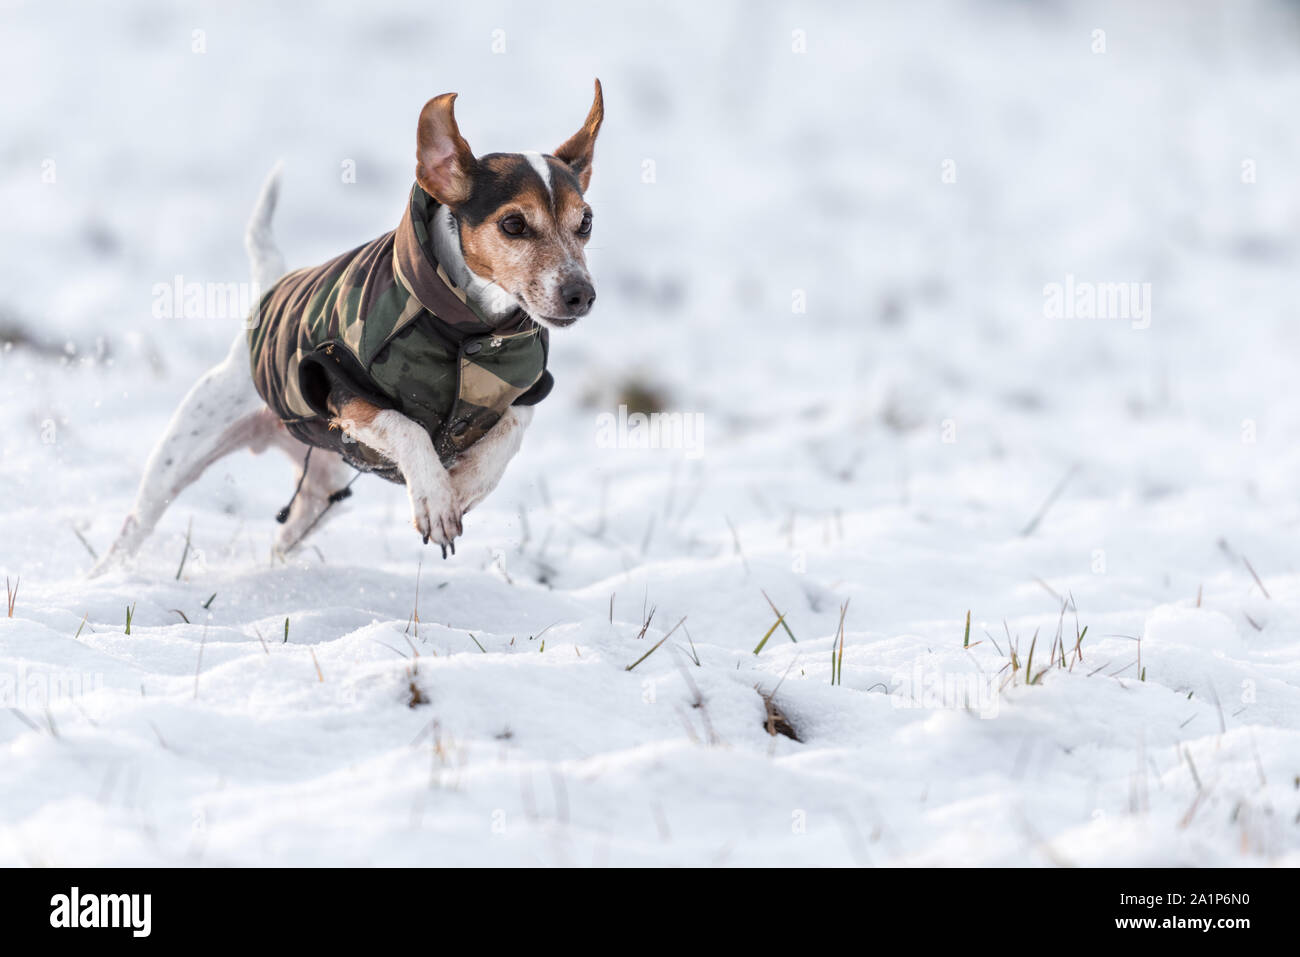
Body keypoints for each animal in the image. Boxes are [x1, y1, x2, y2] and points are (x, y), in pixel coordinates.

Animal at [89, 80, 605, 574]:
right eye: (513, 224)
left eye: (586, 222)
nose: (581, 294)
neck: (469, 331)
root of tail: (268, 294)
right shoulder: (343, 388)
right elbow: (407, 428)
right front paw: (435, 496)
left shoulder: (524, 391)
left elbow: (508, 434)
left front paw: (461, 486)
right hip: (177, 459)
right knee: (135, 525)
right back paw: (101, 577)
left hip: (324, 493)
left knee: (293, 527)